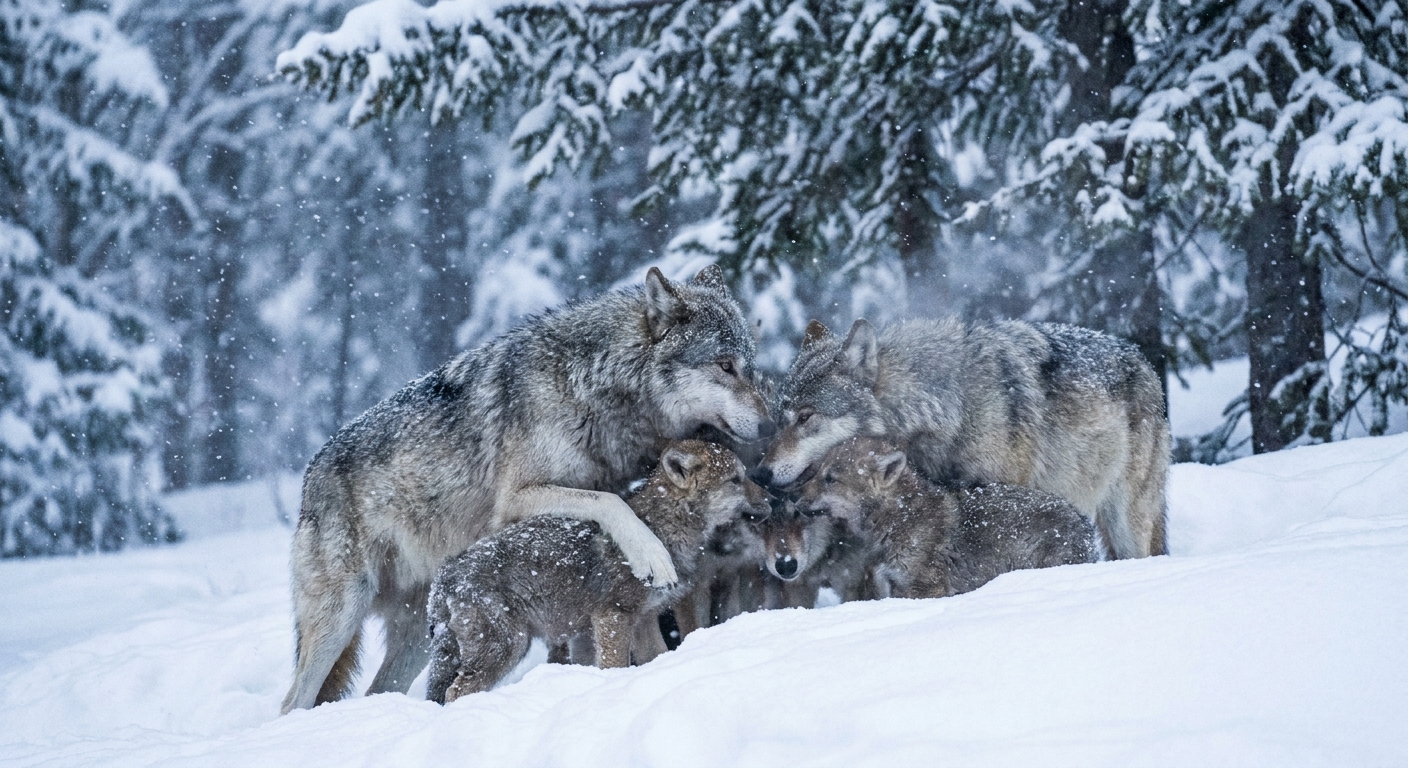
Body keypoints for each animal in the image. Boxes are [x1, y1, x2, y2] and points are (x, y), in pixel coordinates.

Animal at [425, 440, 771, 703]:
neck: (663, 529)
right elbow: (615, 666)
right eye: (736, 480)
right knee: (456, 691)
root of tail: (447, 570)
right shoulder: (612, 616)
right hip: (508, 647)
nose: (773, 497)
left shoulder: (644, 620)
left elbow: (656, 657)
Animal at [754, 317, 1169, 560]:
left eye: (805, 417)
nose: (759, 474)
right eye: (778, 418)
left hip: (1128, 523)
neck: (945, 410)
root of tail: (1143, 359)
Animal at [782, 438, 1097, 598]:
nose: (791, 497)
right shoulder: (894, 584)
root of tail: (1084, 525)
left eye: (830, 478)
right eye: (815, 471)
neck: (902, 517)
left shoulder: (926, 588)